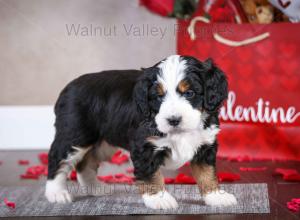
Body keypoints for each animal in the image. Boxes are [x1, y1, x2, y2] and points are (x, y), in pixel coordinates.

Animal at [45, 55, 237, 210]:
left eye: (189, 93)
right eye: (159, 96)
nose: (173, 120)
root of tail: (68, 88)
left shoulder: (205, 145)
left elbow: (207, 173)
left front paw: (215, 196)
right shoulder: (144, 146)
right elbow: (151, 174)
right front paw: (159, 198)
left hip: (104, 144)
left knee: (85, 164)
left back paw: (95, 188)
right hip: (74, 136)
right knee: (57, 158)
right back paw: (56, 193)